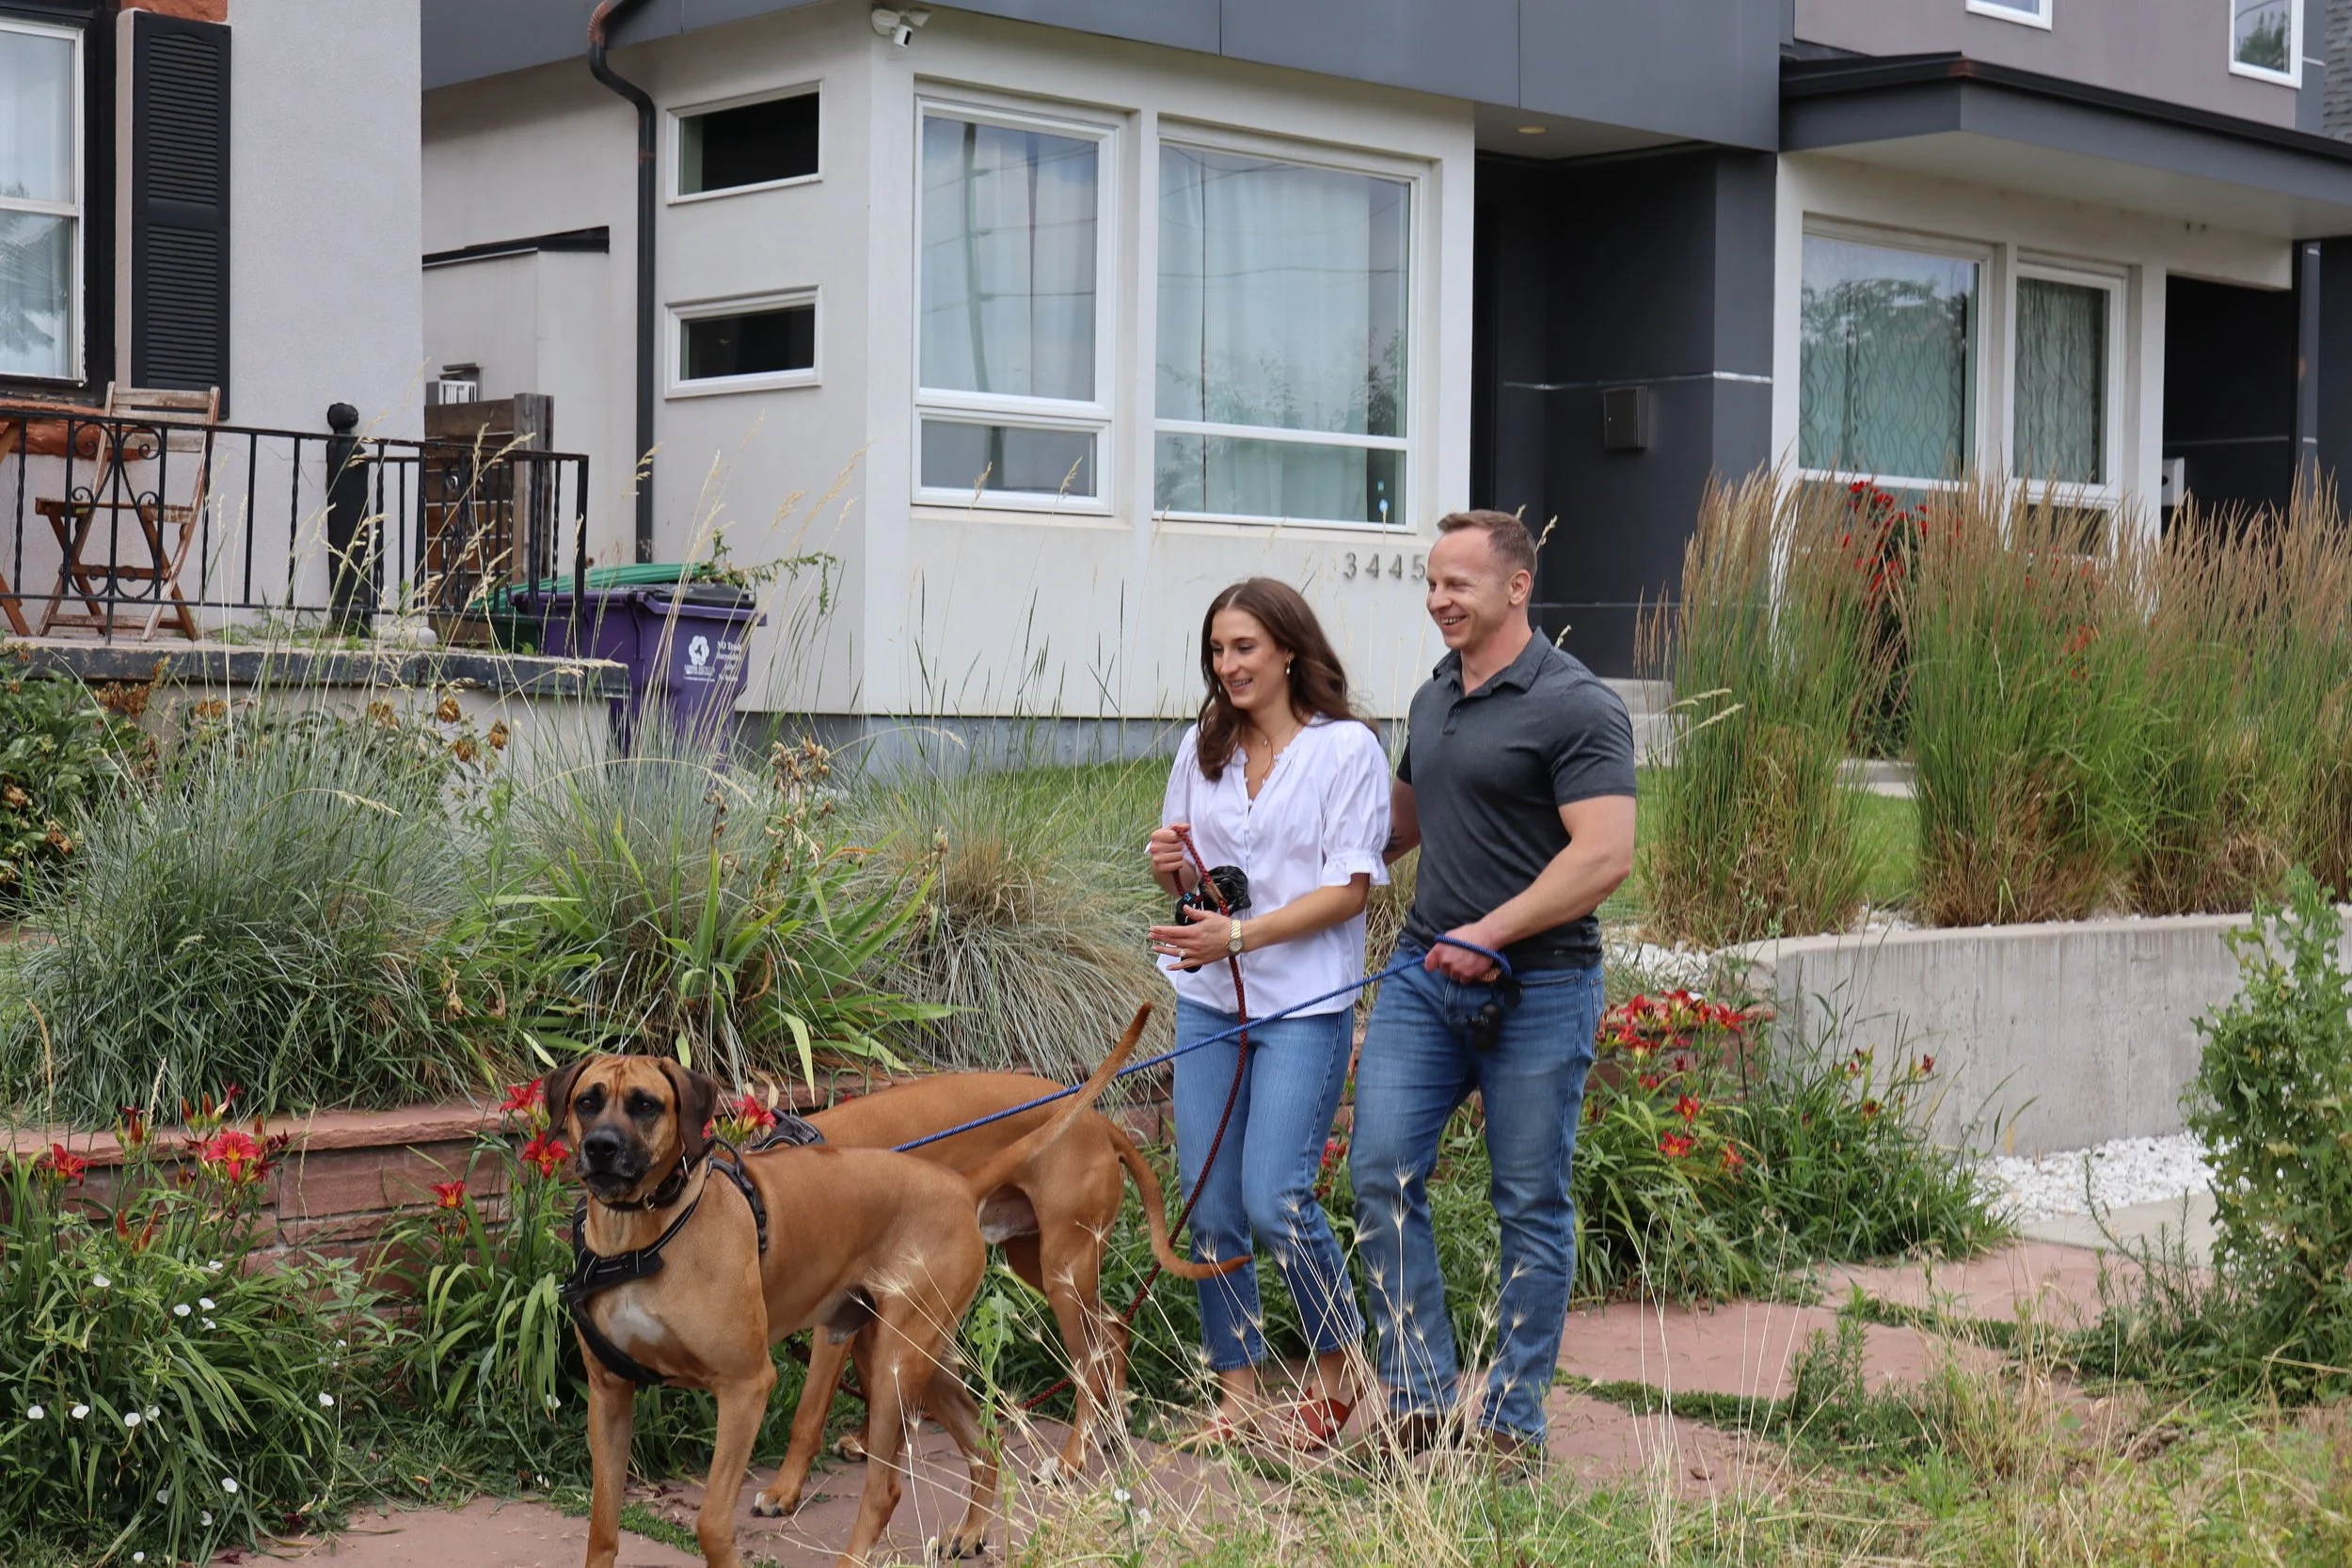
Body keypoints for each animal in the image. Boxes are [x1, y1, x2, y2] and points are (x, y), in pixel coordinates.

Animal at [546, 1009, 1147, 1568]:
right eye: (587, 1102)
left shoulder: (745, 1387)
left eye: (646, 1105)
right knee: (992, 1437)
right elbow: (602, 1526)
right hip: (927, 1347)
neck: (644, 1237)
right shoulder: (610, 1395)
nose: (600, 1146)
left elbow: (717, 1516)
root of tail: (958, 1184)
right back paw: (978, 1525)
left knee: (892, 1486)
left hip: (946, 1333)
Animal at [756, 1068, 1239, 1510]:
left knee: (1089, 1362)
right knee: (1114, 1330)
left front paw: (784, 1491)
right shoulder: (867, 1308)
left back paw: (1070, 1462)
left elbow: (809, 1411)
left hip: (1064, 1272)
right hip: (1041, 1264)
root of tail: (1100, 1122)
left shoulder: (837, 1324)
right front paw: (864, 1438)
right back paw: (1112, 1422)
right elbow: (873, 1381)